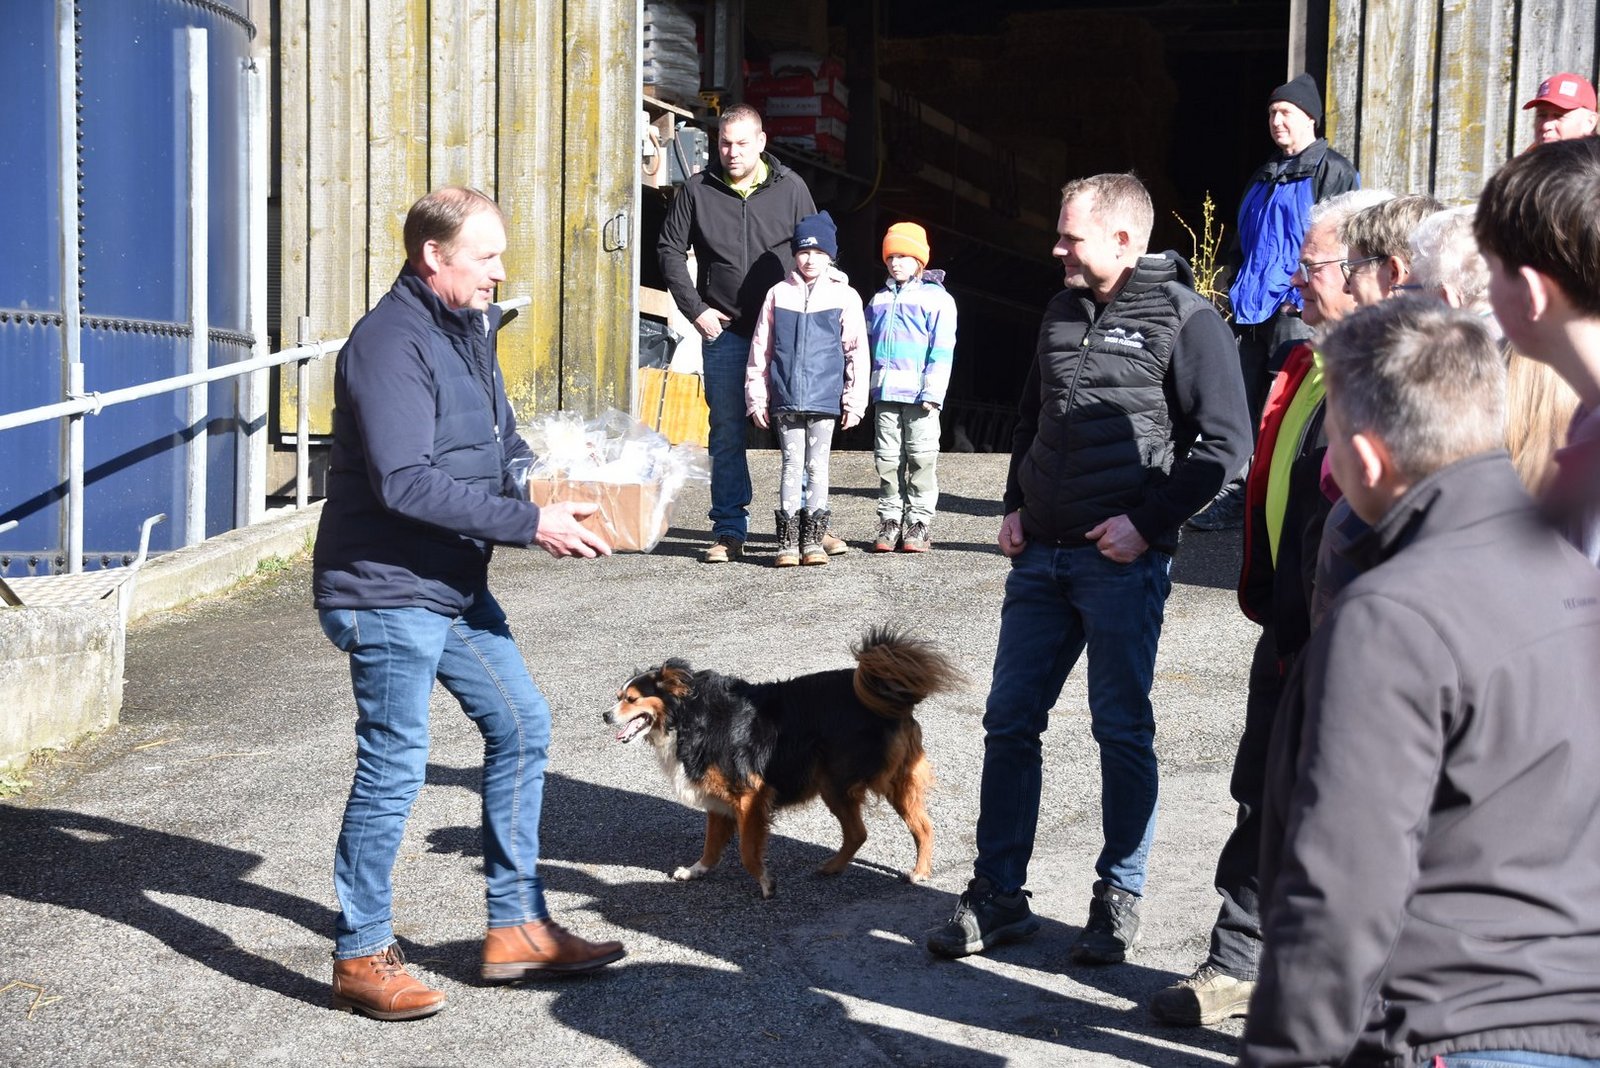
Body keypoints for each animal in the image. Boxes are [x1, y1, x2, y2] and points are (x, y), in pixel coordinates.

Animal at [604, 625, 960, 898]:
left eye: (631, 699)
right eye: (618, 697)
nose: (605, 715)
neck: (688, 717)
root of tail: (892, 699)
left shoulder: (750, 796)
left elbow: (748, 851)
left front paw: (766, 884)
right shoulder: (717, 800)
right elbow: (711, 846)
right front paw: (696, 871)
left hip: (865, 780)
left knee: (922, 827)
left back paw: (920, 872)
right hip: (835, 783)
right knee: (859, 832)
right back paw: (832, 867)